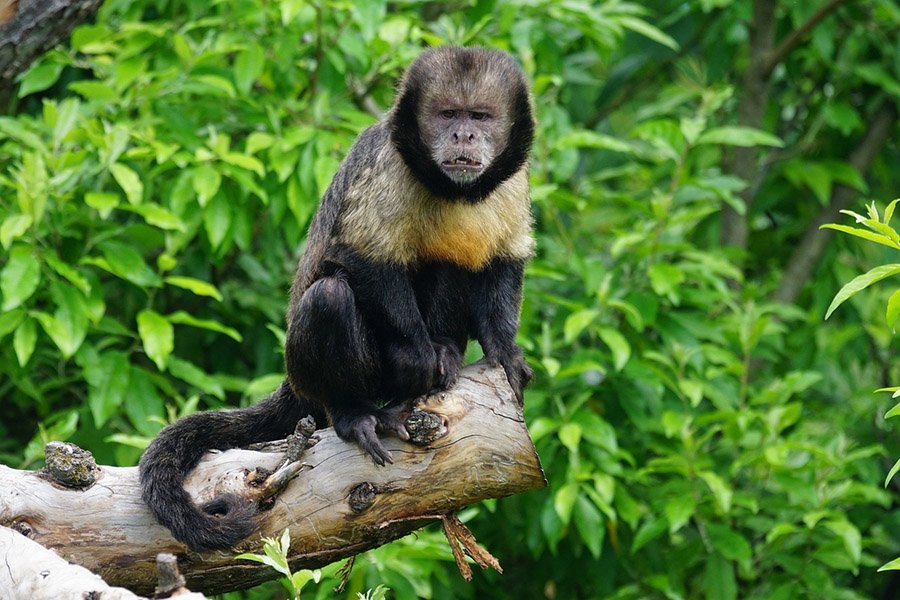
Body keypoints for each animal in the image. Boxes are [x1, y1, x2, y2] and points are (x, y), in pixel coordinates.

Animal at [139, 47, 536, 552]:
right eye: (449, 115)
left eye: (479, 116)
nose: (463, 134)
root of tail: (295, 382)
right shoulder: (389, 164)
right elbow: (359, 256)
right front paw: (416, 356)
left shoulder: (514, 179)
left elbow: (504, 258)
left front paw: (503, 351)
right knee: (329, 297)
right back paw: (356, 414)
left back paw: (446, 349)